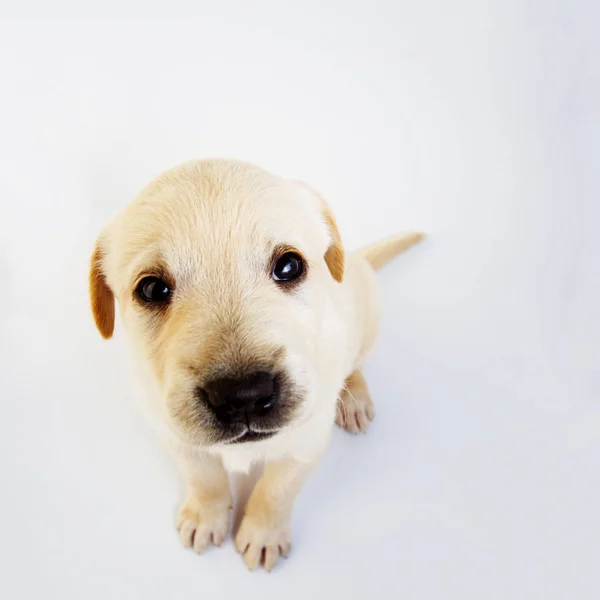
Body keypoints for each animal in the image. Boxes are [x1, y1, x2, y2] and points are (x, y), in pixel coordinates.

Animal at [89, 159, 422, 572]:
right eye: (151, 289)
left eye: (289, 266)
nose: (243, 396)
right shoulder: (176, 435)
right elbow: (203, 477)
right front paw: (206, 515)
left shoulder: (305, 442)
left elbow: (275, 491)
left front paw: (263, 533)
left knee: (354, 363)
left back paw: (354, 399)